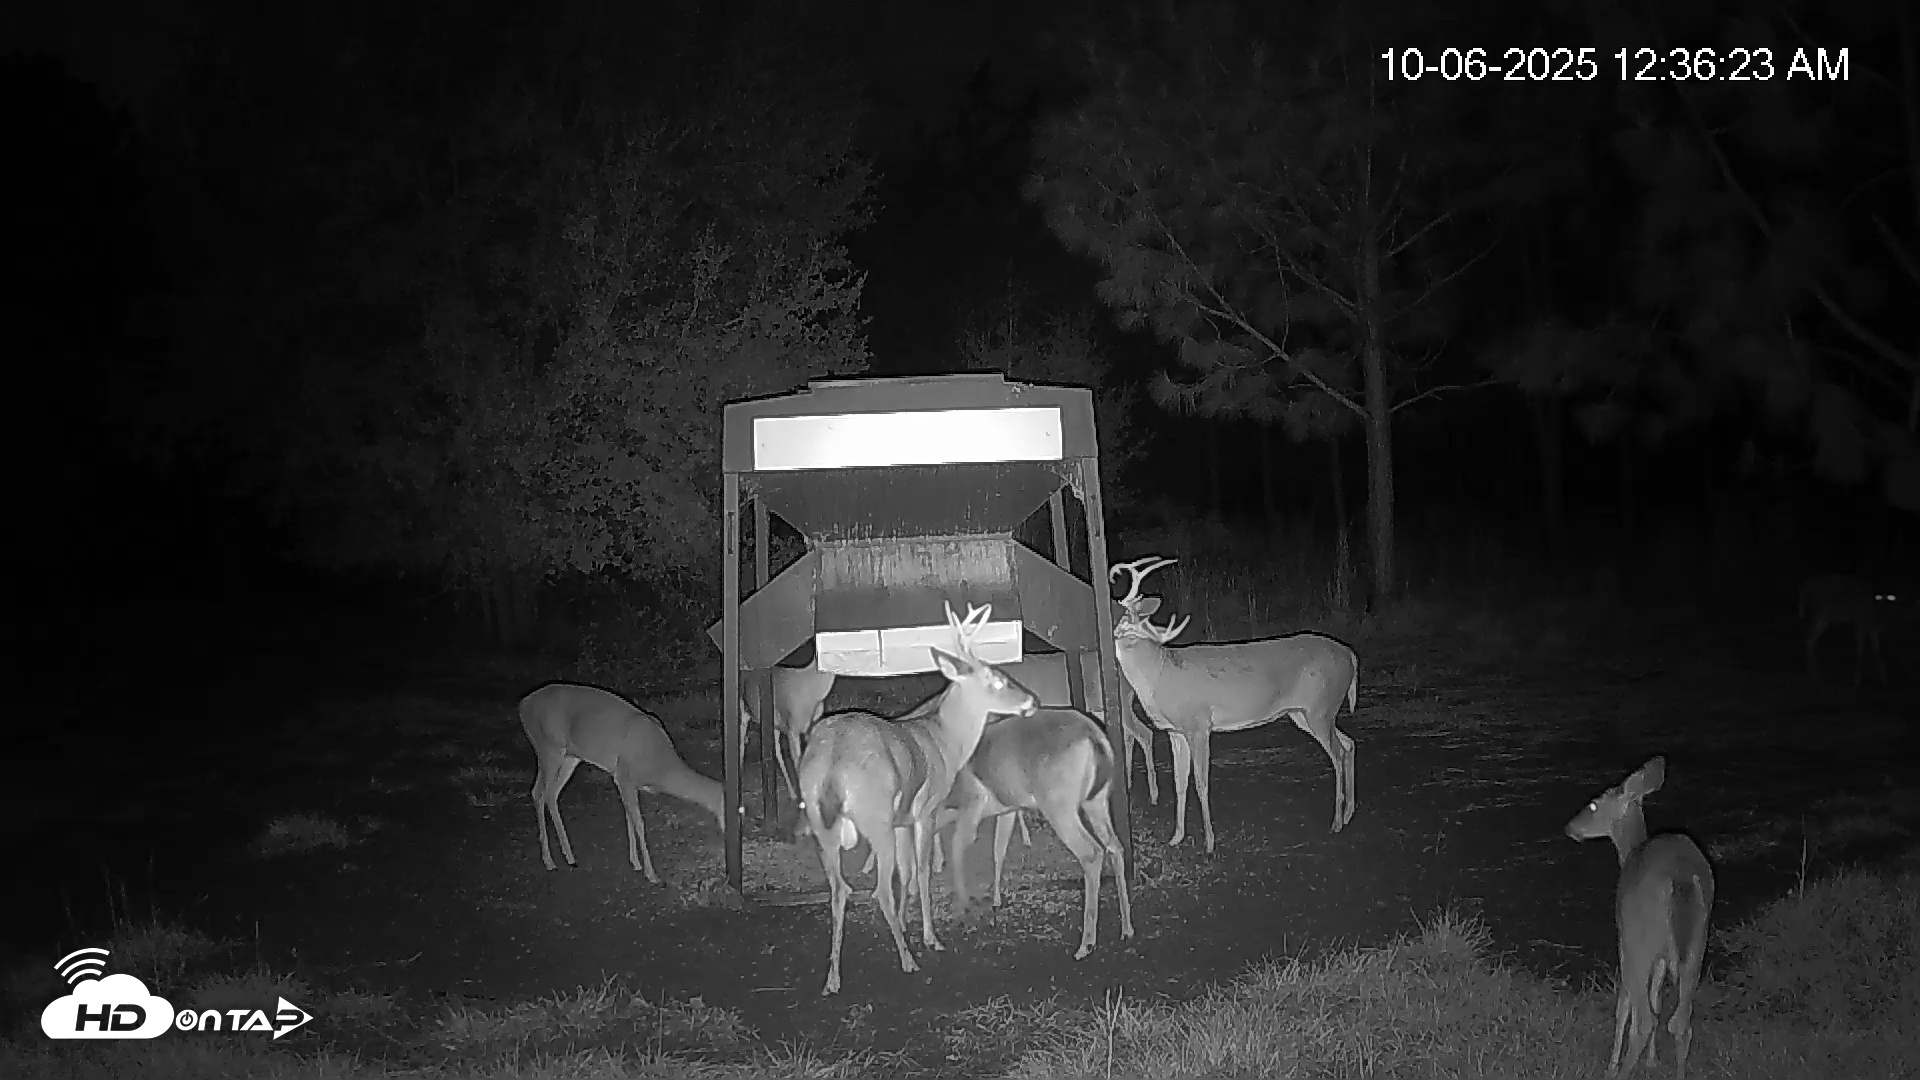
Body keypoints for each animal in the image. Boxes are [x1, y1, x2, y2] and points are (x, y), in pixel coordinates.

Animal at [519, 682, 726, 884]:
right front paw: (652, 874)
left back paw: (565, 857)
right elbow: (639, 823)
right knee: (542, 792)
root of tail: (523, 705)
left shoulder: (624, 781)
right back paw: (554, 860)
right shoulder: (624, 776)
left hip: (570, 756)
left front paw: (635, 862)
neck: (660, 765)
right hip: (548, 748)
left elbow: (629, 818)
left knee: (546, 792)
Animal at [795, 601, 1040, 995]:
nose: (1031, 700)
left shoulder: (901, 820)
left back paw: (833, 978)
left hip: (823, 823)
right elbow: (922, 871)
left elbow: (906, 872)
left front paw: (906, 923)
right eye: (997, 680)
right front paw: (928, 936)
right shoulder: (926, 810)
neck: (946, 741)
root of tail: (832, 762)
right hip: (874, 815)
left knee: (839, 888)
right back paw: (908, 960)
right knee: (878, 889)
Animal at [939, 706, 1135, 960]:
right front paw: (996, 899)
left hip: (1059, 808)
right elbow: (998, 849)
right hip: (1096, 802)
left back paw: (1086, 945)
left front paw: (962, 905)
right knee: (1115, 847)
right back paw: (1127, 928)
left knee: (1091, 853)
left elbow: (956, 847)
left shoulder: (971, 807)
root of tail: (1096, 739)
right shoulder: (1008, 809)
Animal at [1109, 555, 1359, 851]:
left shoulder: (1198, 725)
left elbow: (1201, 783)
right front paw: (1176, 837)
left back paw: (1337, 823)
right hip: (1306, 712)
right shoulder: (1175, 731)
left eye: (1122, 617)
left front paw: (1209, 843)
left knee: (1339, 752)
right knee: (1349, 744)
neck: (1159, 673)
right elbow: (1179, 782)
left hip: (1321, 708)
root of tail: (1351, 655)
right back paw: (1349, 813)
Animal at [1565, 757, 1715, 1080]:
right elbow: (1656, 996)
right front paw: (1652, 1060)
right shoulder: (1662, 955)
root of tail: (1680, 876)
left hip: (1640, 938)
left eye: (1593, 804)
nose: (1570, 828)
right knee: (1681, 1021)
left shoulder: (1625, 937)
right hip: (1697, 941)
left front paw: (1614, 1063)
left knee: (1647, 1019)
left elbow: (1625, 1005)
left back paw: (1620, 1072)